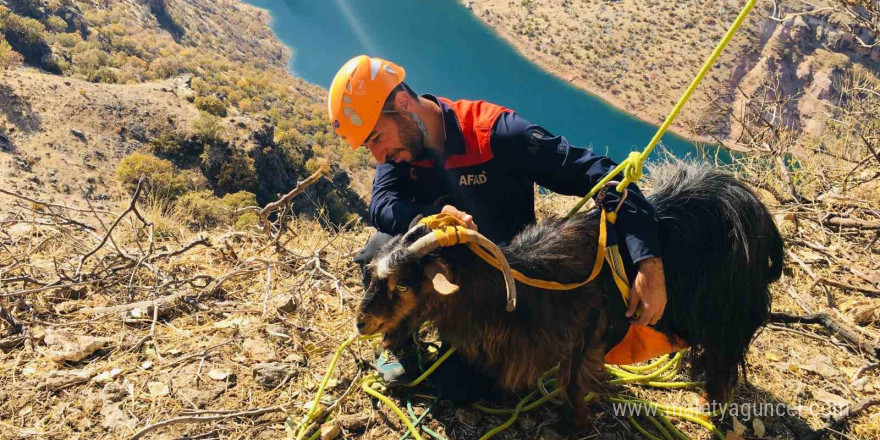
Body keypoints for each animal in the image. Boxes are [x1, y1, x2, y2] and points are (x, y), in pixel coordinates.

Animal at [356, 162, 784, 426]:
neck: (529, 281)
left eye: (403, 284)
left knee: (723, 361)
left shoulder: (586, 334)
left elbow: (574, 384)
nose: (362, 324)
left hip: (729, 317)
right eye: (376, 274)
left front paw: (571, 426)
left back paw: (712, 402)